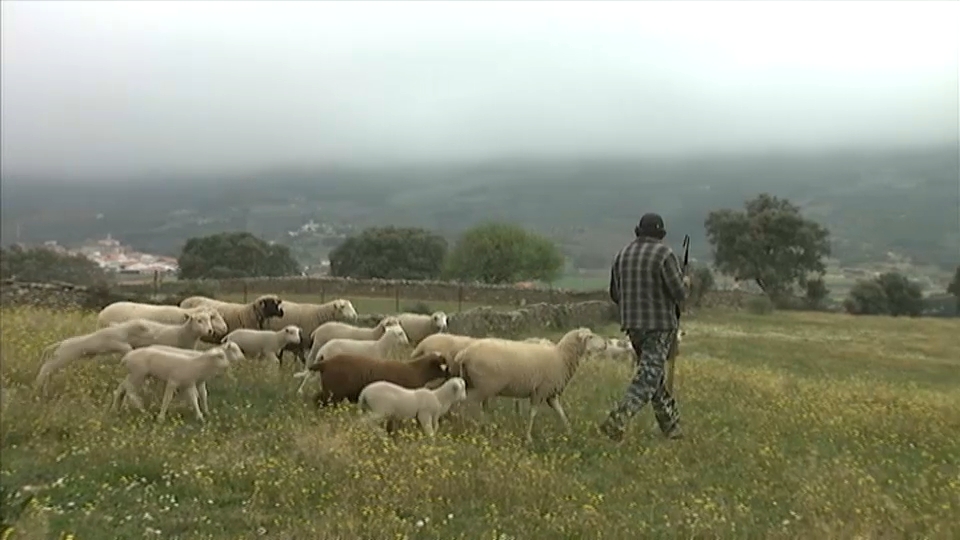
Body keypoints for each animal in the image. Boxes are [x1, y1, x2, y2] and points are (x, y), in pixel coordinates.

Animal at [312, 352, 454, 408]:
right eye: (442, 365)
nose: (451, 374)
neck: (415, 370)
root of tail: (325, 363)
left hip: (329, 391)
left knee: (317, 399)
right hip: (334, 394)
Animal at [454, 324, 604, 442]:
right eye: (590, 337)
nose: (605, 344)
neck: (561, 357)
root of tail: (463, 354)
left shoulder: (550, 394)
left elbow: (560, 412)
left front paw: (570, 431)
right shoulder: (540, 391)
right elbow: (533, 414)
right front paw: (529, 437)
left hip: (477, 385)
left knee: (477, 406)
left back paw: (484, 428)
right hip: (481, 387)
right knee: (464, 403)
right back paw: (464, 426)